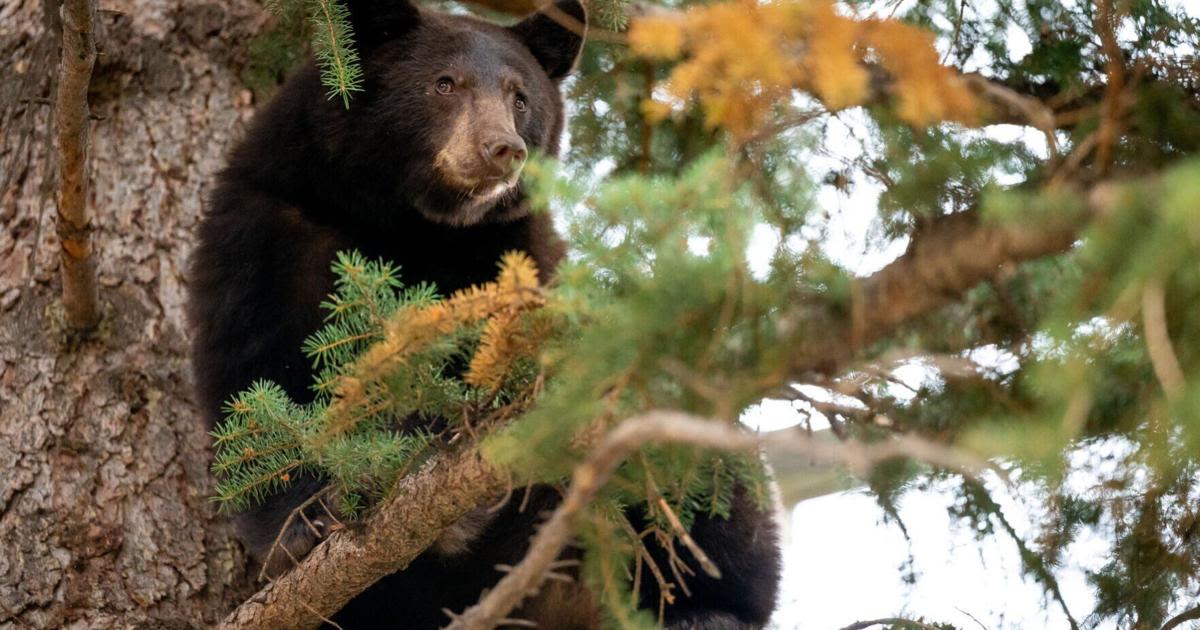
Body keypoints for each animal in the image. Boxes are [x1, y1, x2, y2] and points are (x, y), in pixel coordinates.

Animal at [187, 0, 782, 624]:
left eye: (520, 97)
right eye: (444, 84)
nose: (503, 149)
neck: (409, 225)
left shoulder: (514, 260)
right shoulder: (268, 229)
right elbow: (255, 384)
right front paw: (304, 523)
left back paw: (709, 608)